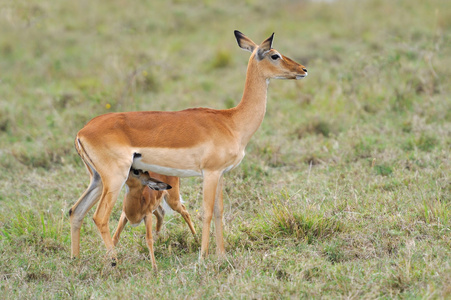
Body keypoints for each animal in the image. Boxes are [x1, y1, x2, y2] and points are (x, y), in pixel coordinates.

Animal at [69, 30, 308, 264]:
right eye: (274, 55)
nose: (303, 70)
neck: (232, 121)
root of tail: (82, 131)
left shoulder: (220, 174)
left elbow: (219, 211)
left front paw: (221, 256)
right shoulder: (210, 173)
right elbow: (207, 212)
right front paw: (203, 258)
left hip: (98, 179)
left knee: (75, 211)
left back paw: (76, 262)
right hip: (115, 178)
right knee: (99, 217)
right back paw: (113, 261)